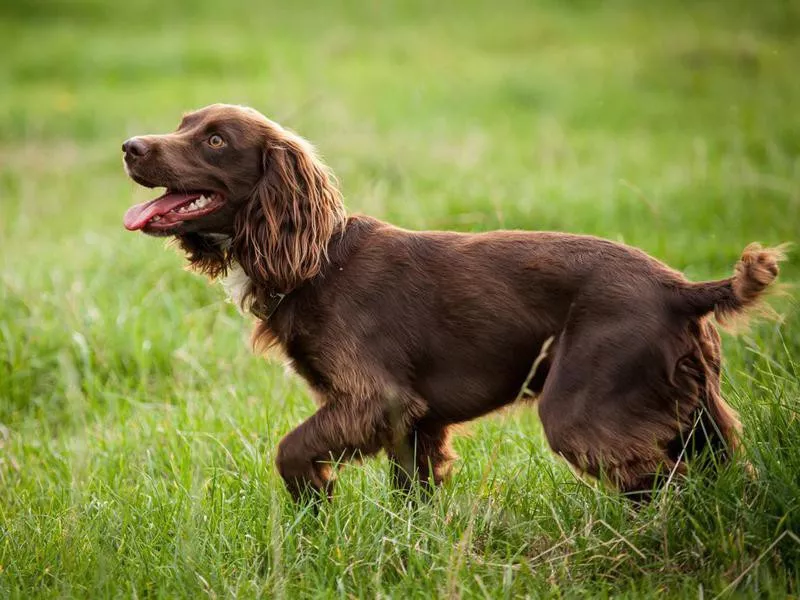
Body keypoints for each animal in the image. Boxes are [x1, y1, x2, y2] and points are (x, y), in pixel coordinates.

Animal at [123, 104, 780, 502]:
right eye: (183, 123)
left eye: (214, 140)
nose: (129, 146)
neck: (317, 261)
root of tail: (680, 289)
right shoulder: (413, 423)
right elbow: (411, 496)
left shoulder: (375, 399)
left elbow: (290, 449)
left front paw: (317, 502)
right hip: (696, 412)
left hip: (583, 410)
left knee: (665, 484)